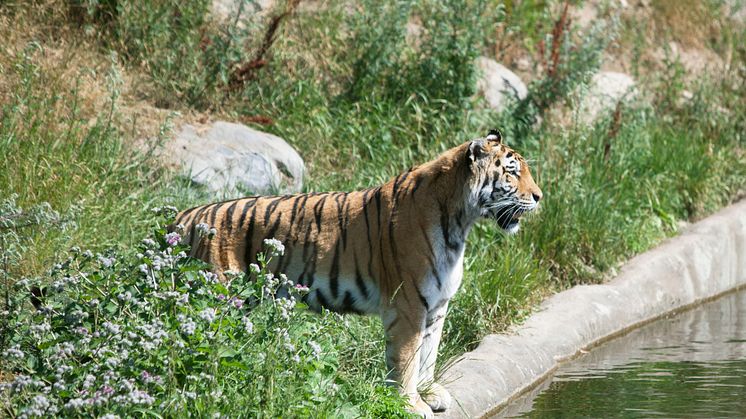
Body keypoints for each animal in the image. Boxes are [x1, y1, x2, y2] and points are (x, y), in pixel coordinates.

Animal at [171, 130, 536, 418]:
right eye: (513, 173)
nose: (539, 196)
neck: (460, 221)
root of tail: (183, 218)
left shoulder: (436, 305)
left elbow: (429, 354)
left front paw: (431, 393)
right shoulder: (408, 304)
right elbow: (407, 358)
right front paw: (411, 405)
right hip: (215, 299)